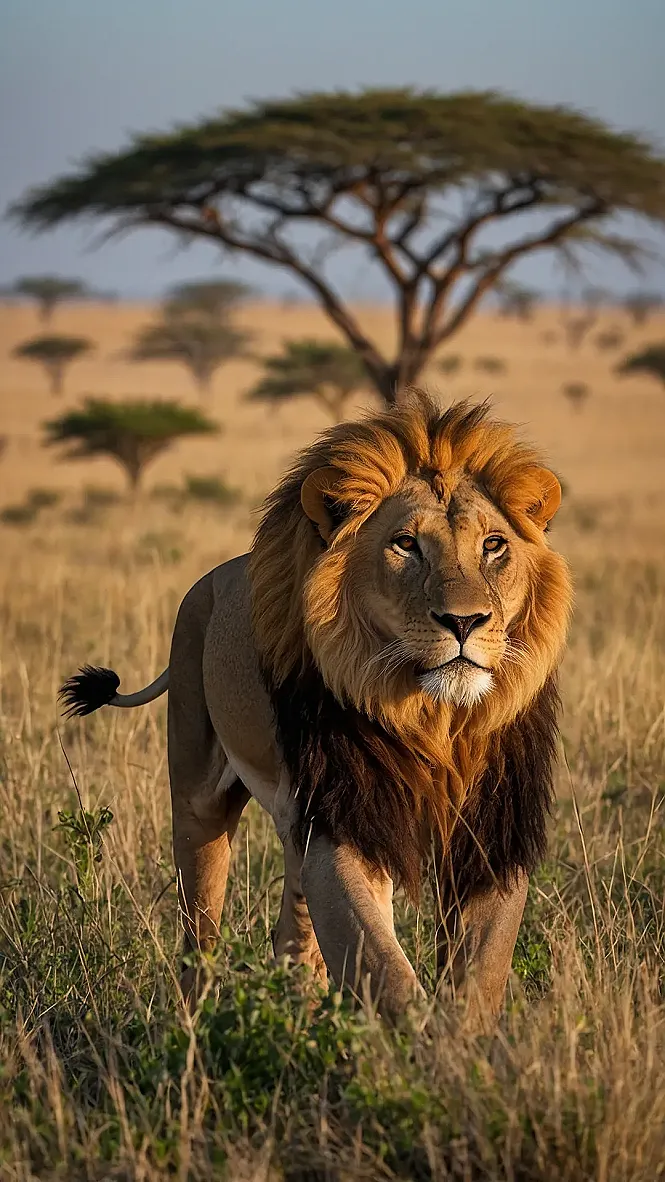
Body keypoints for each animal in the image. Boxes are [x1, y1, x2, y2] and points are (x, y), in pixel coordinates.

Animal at [60, 392, 572, 1027]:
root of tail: (213, 577)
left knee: (294, 929)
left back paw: (298, 1012)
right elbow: (384, 966)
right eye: (406, 544)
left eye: (493, 545)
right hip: (199, 801)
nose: (464, 622)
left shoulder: (491, 830)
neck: (435, 717)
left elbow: (480, 970)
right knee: (199, 929)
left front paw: (463, 1046)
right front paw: (421, 1042)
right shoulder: (345, 819)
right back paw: (196, 1024)